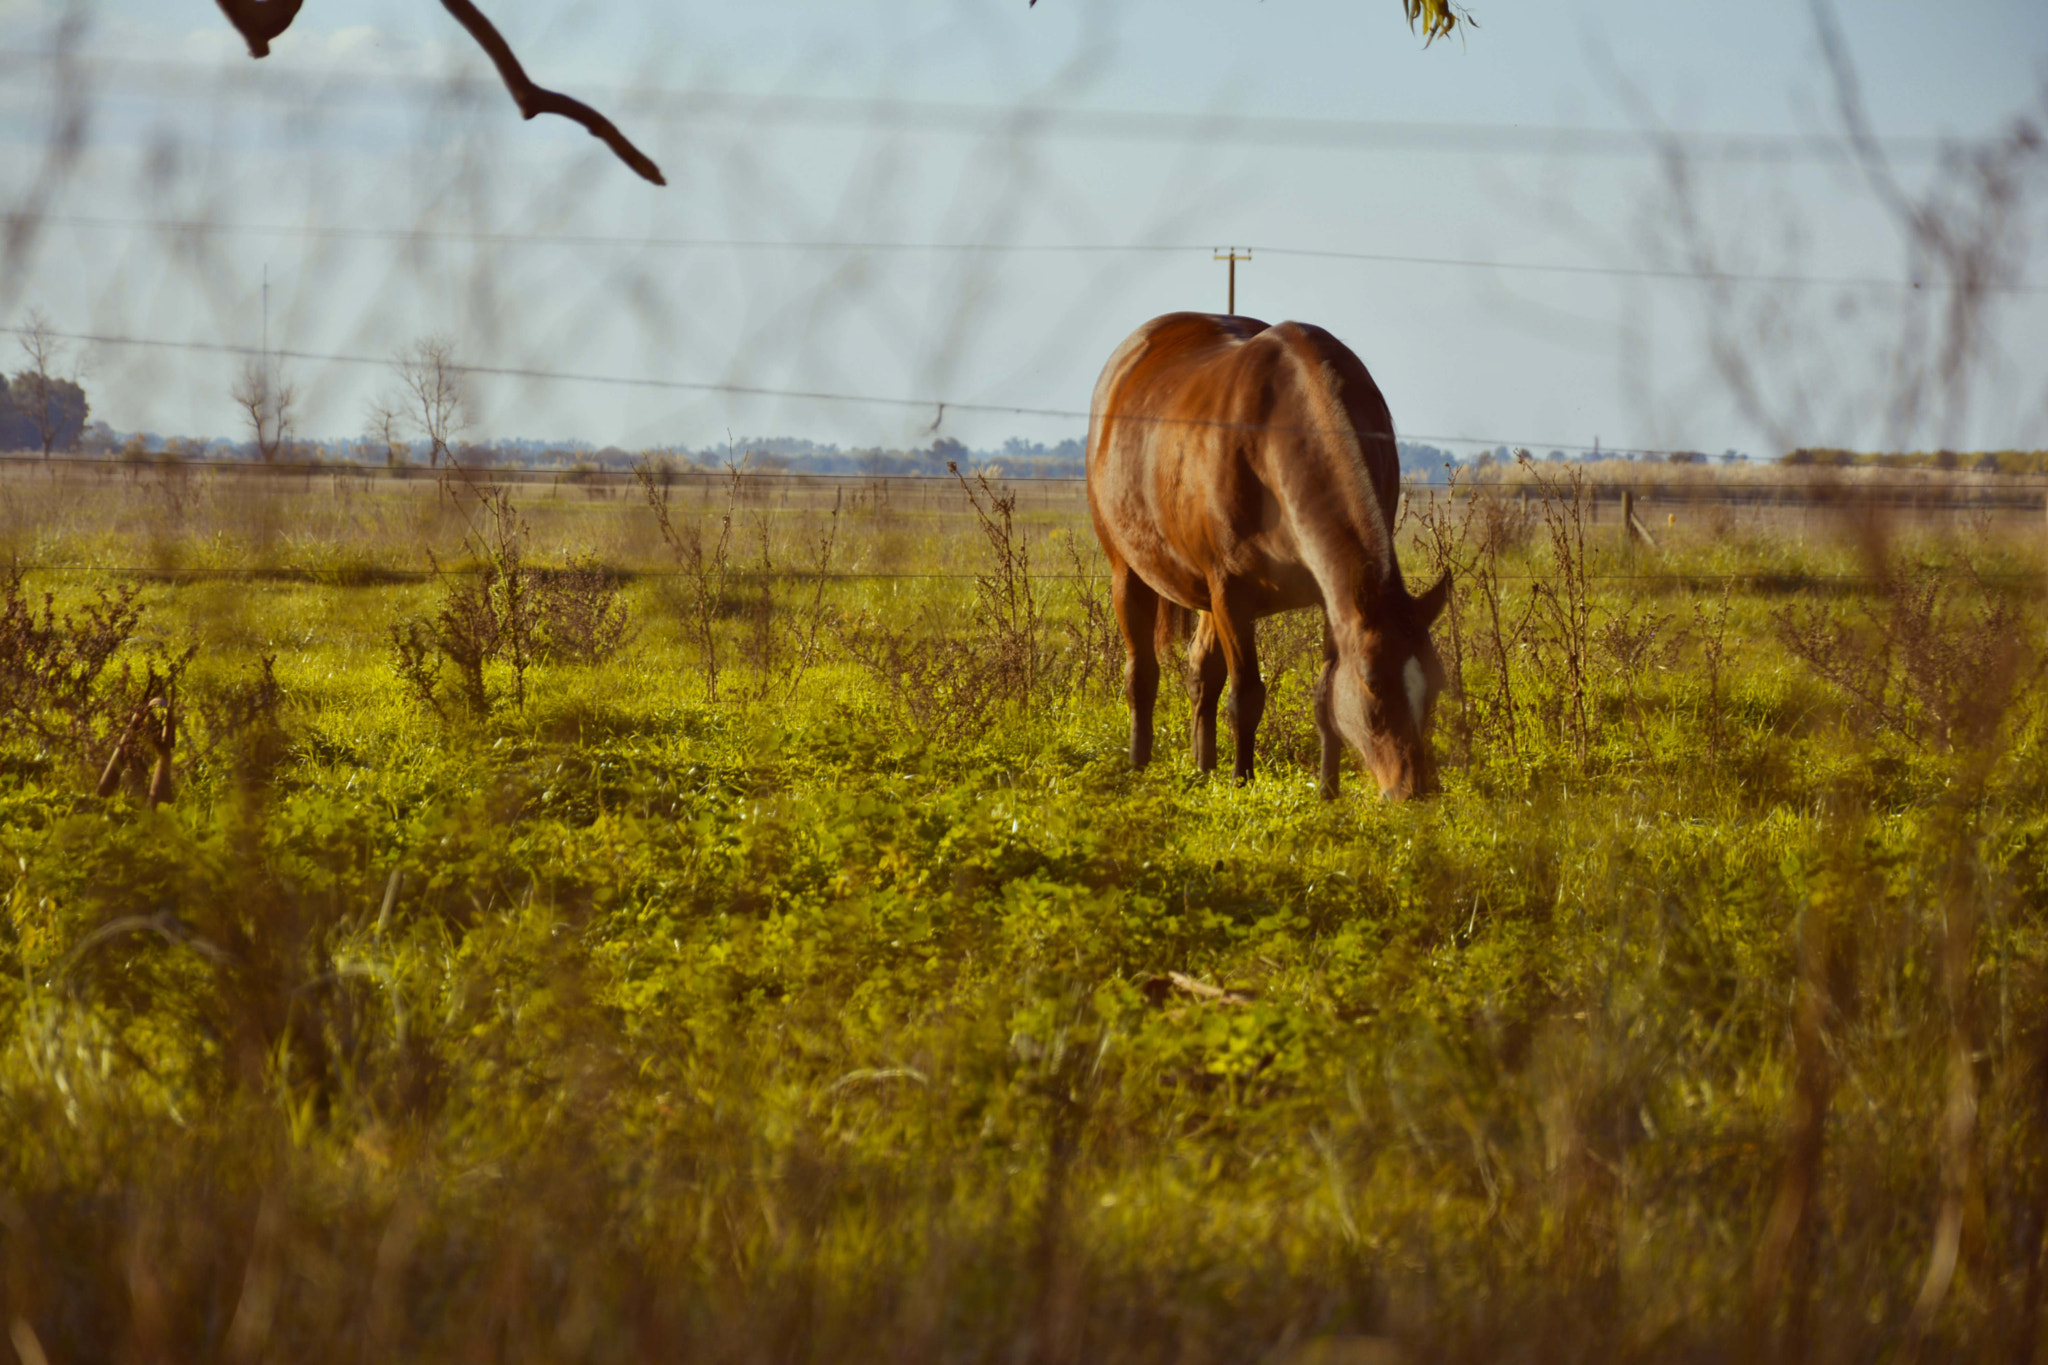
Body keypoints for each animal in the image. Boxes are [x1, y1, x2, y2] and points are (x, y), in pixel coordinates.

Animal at [1084, 312, 1450, 800]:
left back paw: (1203, 766)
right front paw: (1242, 781)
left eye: (1435, 683)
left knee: (1201, 674)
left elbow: (1323, 695)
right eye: (1373, 682)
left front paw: (1327, 790)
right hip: (1130, 573)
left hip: (1206, 599)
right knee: (1142, 673)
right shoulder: (1232, 595)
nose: (1412, 789)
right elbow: (1246, 696)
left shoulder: (1334, 597)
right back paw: (1139, 764)